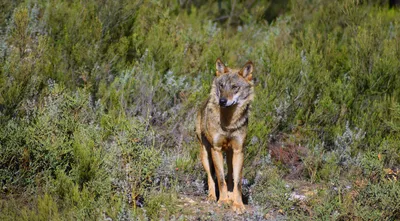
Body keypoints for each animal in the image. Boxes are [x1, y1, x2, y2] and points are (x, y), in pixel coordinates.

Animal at [195, 57, 255, 213]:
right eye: (221, 86)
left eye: (234, 87)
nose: (222, 101)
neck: (229, 124)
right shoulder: (216, 149)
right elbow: (220, 179)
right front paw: (222, 201)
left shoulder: (239, 150)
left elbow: (237, 182)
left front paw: (238, 204)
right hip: (206, 154)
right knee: (211, 177)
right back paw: (212, 197)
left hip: (230, 154)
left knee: (231, 178)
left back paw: (230, 196)